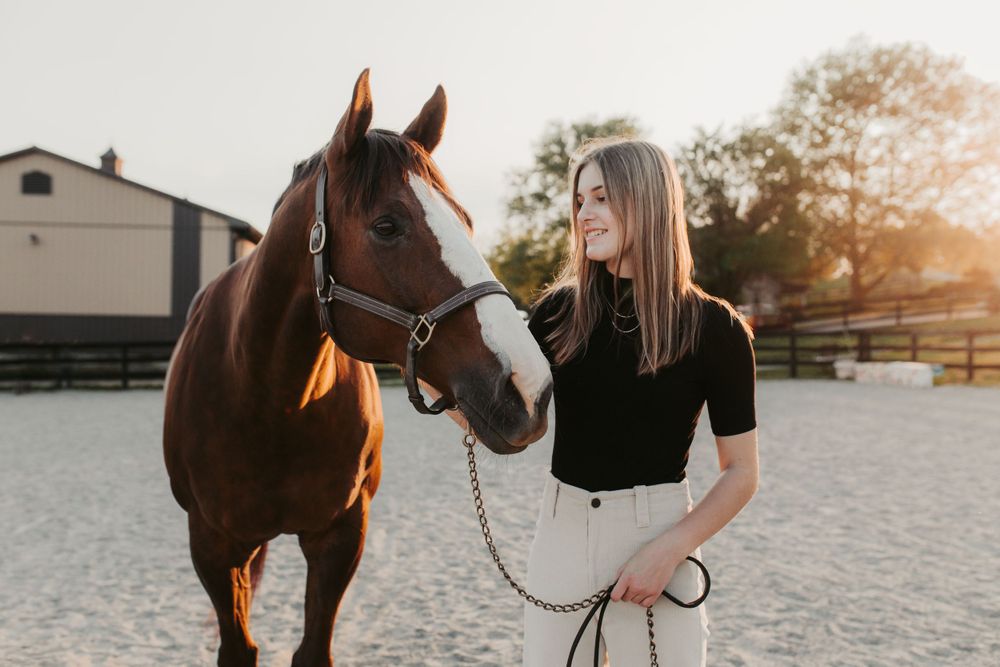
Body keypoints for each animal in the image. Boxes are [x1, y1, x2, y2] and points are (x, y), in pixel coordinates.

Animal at [163, 69, 553, 667]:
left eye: (465, 220)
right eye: (387, 225)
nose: (529, 388)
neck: (273, 402)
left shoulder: (341, 536)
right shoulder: (212, 543)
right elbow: (239, 646)